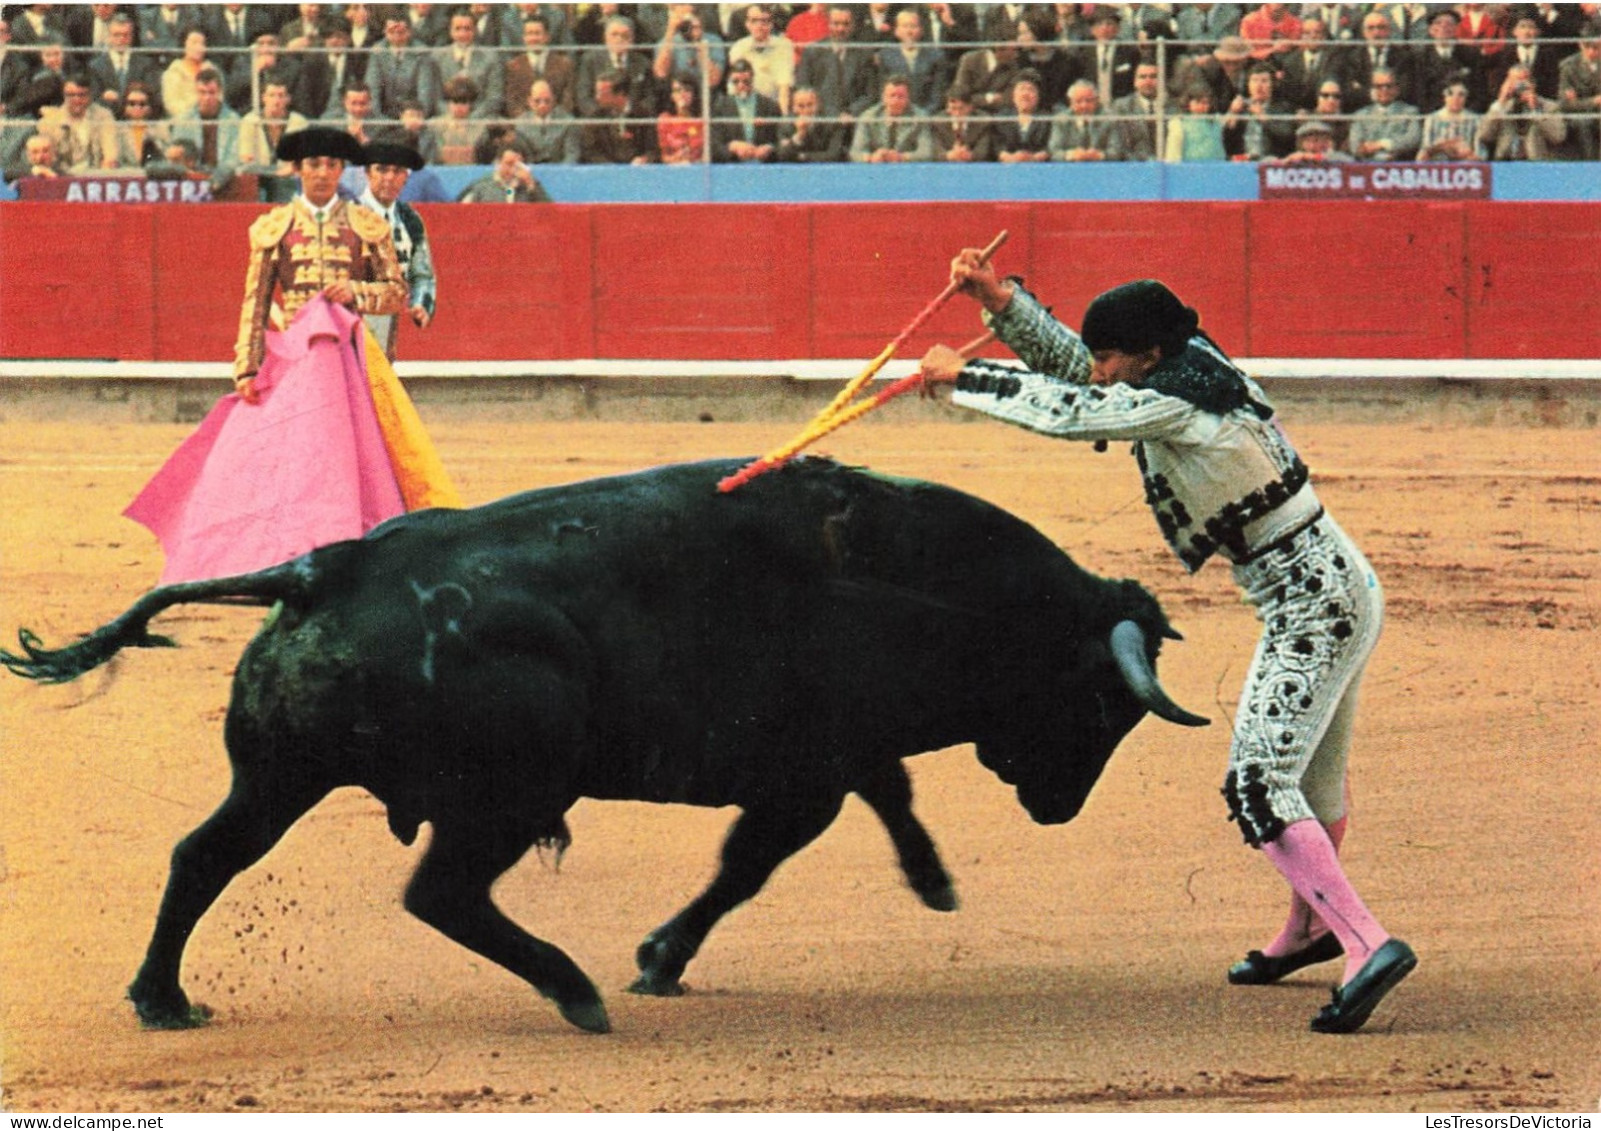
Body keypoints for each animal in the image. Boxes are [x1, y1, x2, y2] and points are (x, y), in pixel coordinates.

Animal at [6, 454, 1203, 1031]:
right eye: (1105, 702)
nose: (1057, 805)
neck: (910, 574)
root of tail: (322, 568)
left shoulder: (834, 755)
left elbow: (887, 797)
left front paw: (931, 879)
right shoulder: (802, 774)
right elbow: (751, 863)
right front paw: (657, 959)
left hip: (282, 773)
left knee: (204, 856)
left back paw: (162, 1000)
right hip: (506, 792)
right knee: (440, 893)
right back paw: (575, 992)